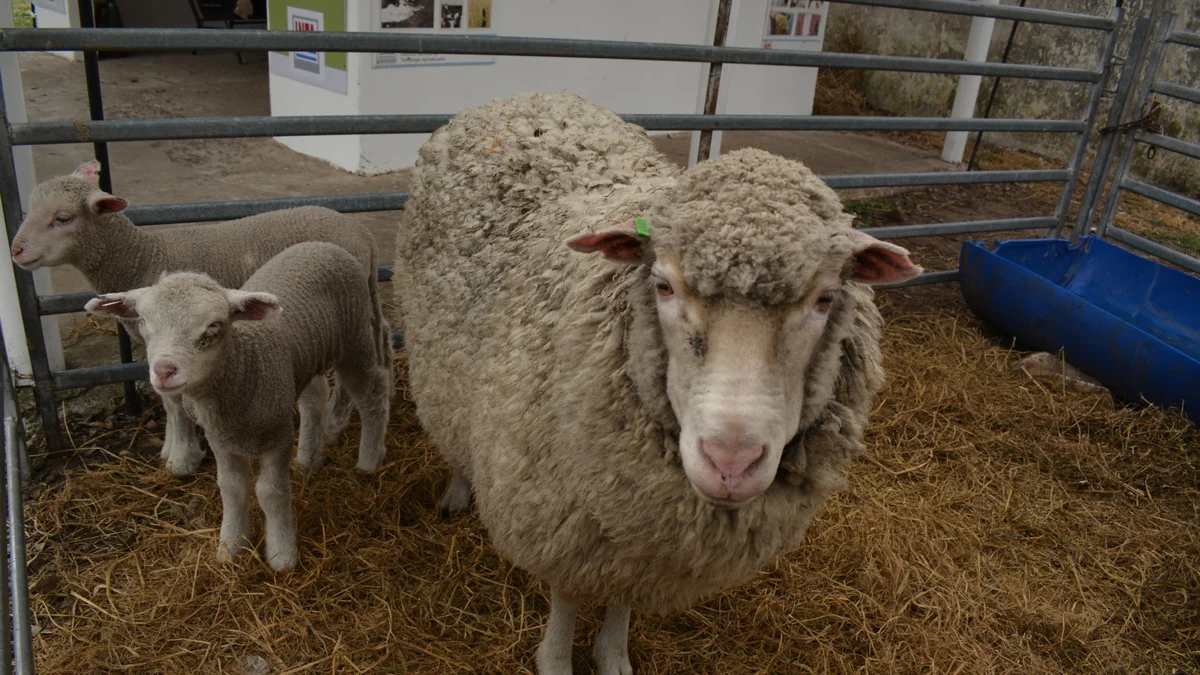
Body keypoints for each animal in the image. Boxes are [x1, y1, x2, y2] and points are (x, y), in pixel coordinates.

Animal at [10, 159, 393, 473]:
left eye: (62, 218)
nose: (15, 250)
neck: (142, 256)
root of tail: (364, 234)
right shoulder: (156, 343)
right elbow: (168, 401)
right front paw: (170, 447)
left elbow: (177, 401)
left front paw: (183, 458)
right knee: (384, 333)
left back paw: (341, 423)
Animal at [84, 239, 393, 569]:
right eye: (143, 321)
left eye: (213, 326)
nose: (165, 371)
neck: (243, 367)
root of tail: (323, 245)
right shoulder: (222, 440)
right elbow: (232, 490)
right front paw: (231, 547)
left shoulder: (277, 436)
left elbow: (270, 493)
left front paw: (282, 554)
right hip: (300, 362)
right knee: (316, 397)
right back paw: (308, 459)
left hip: (355, 335)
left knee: (373, 390)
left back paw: (369, 460)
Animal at [393, 90, 916, 672]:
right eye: (663, 285)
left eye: (825, 299)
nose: (730, 461)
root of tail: (526, 96)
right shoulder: (562, 513)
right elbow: (567, 595)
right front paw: (555, 658)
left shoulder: (642, 533)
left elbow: (623, 597)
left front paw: (613, 654)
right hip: (437, 357)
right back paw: (458, 489)